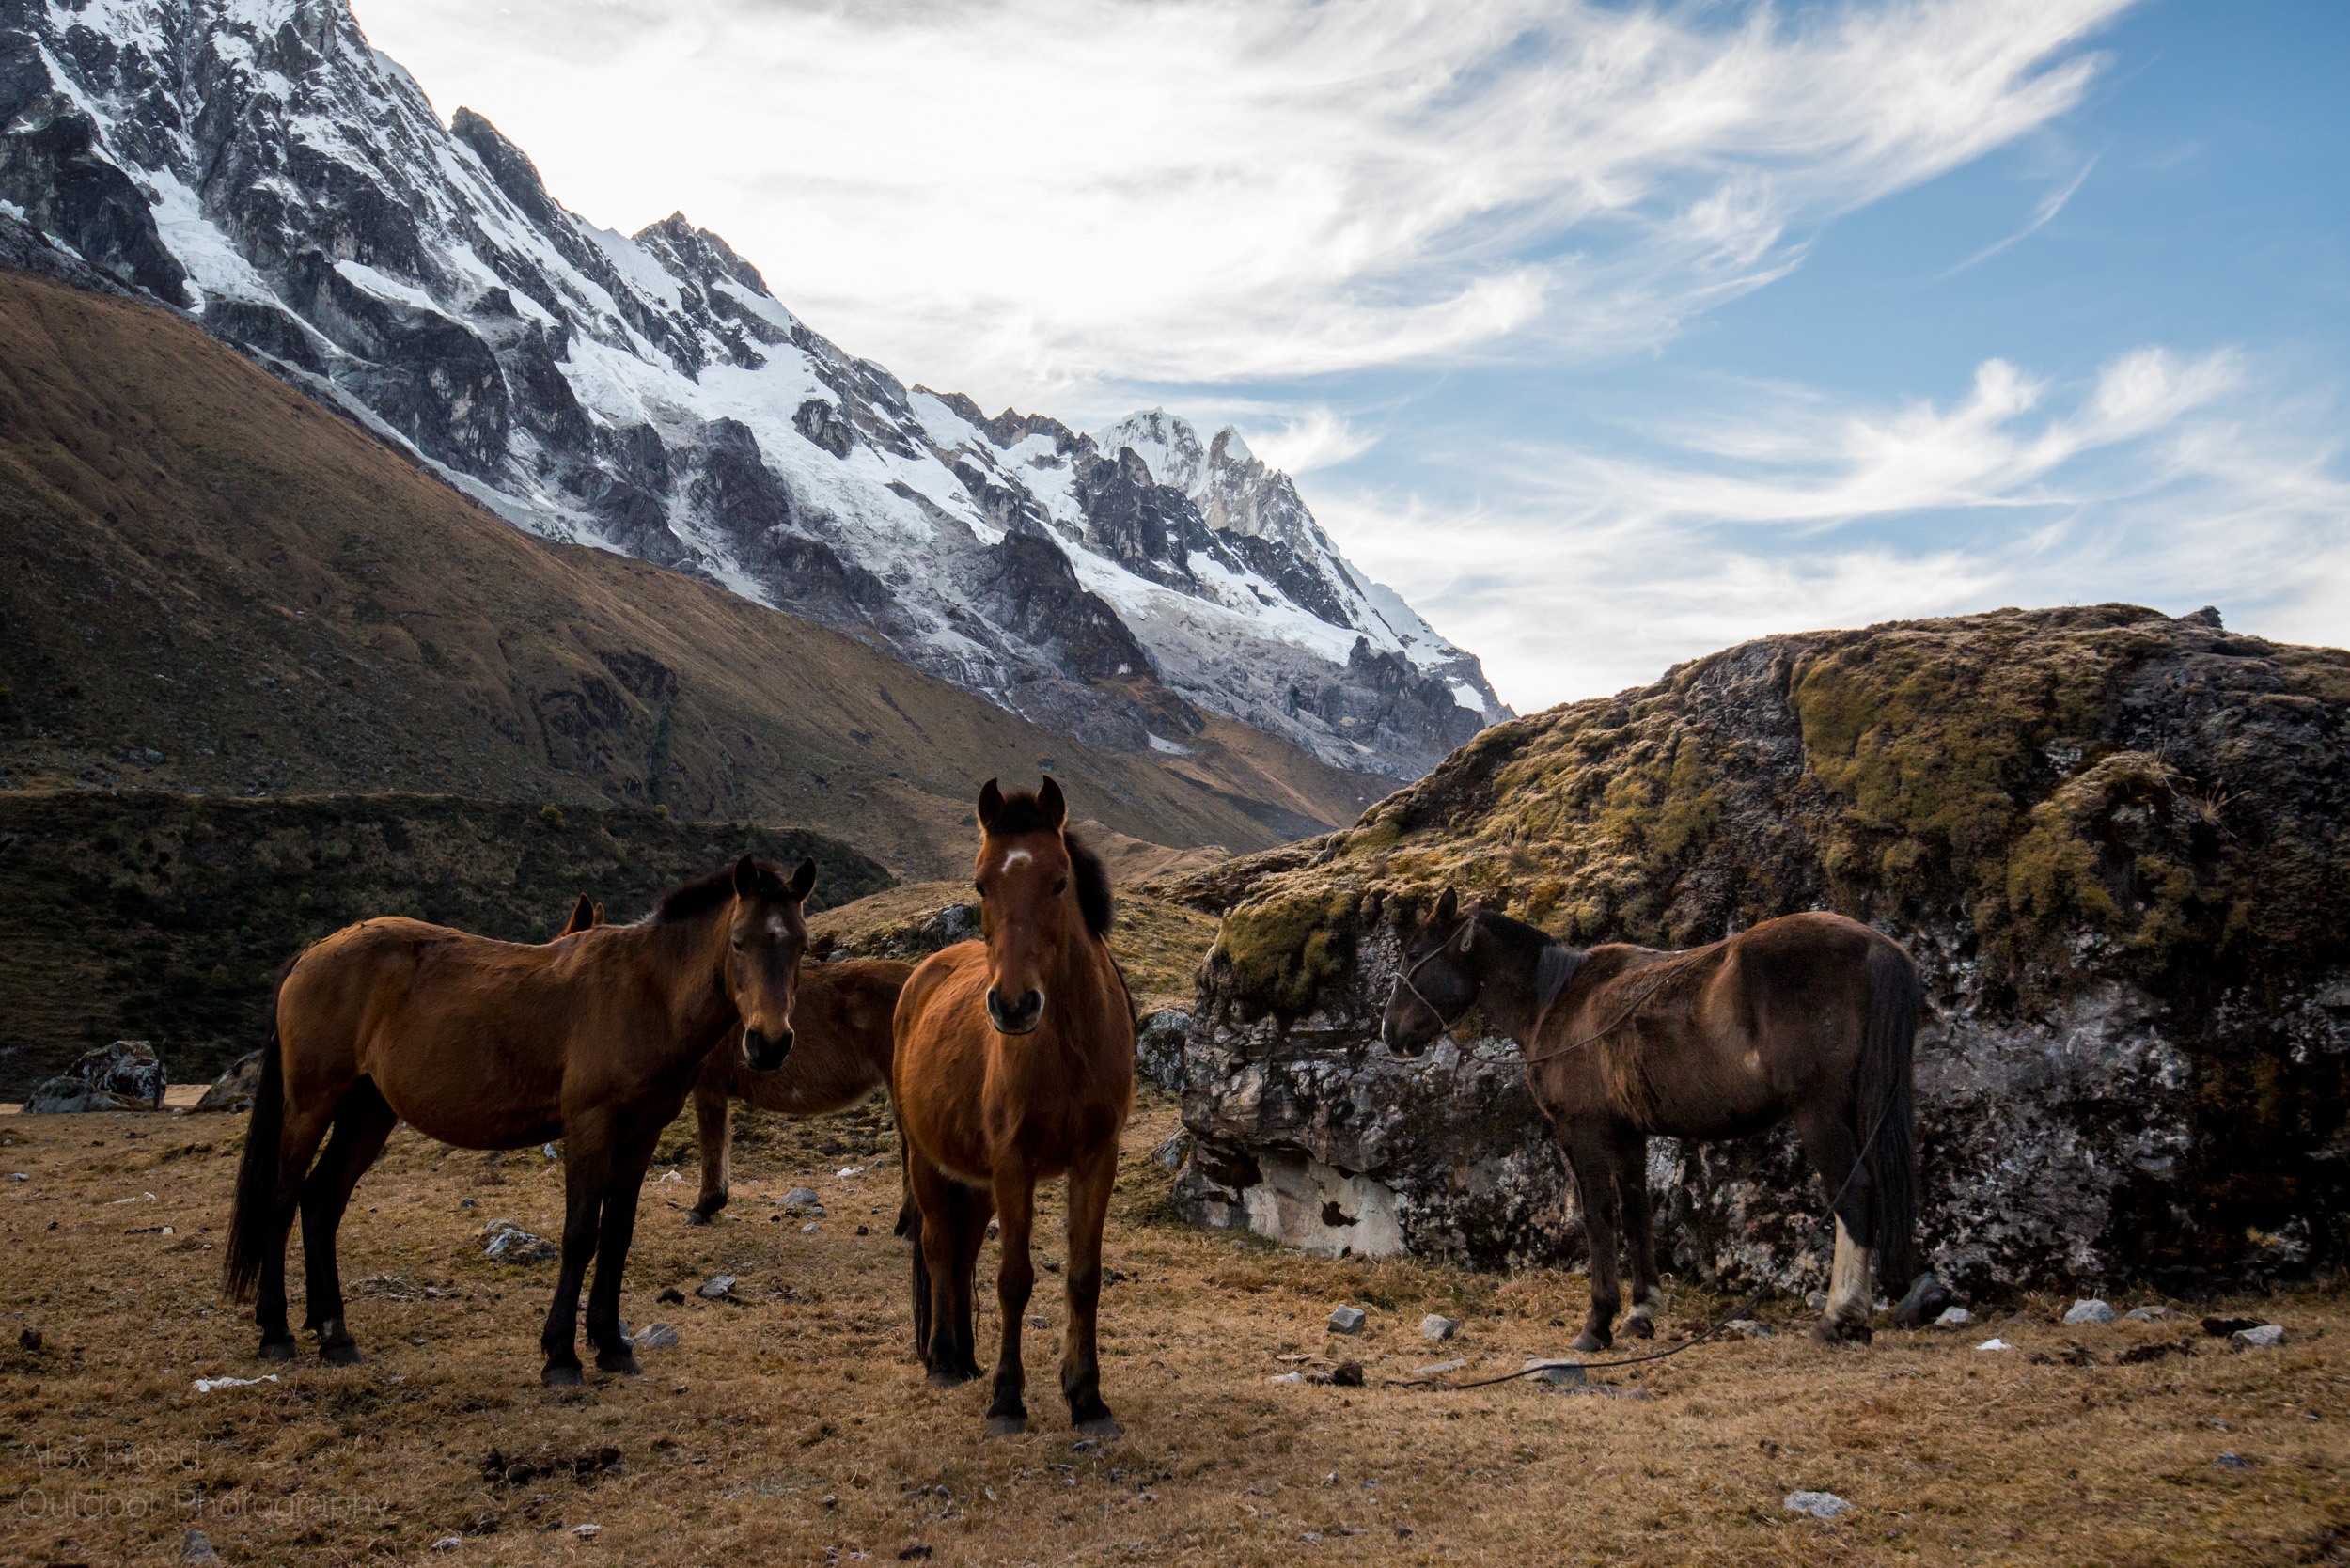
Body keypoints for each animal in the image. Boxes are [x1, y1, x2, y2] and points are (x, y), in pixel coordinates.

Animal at [222, 860, 818, 1382]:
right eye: (738, 941)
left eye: (801, 945)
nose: (769, 1043)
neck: (646, 992)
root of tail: (312, 954)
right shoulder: (590, 1129)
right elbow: (581, 1235)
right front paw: (562, 1357)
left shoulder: (640, 1136)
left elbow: (617, 1236)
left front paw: (612, 1346)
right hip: (311, 1106)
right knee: (282, 1198)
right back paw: (276, 1330)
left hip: (368, 1112)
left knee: (321, 1200)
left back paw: (334, 1334)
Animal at [888, 780, 1128, 1438]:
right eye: (980, 885)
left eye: (1059, 882)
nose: (1015, 1006)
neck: (1067, 1047)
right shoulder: (1014, 1162)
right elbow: (1014, 1279)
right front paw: (1007, 1400)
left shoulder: (1097, 1158)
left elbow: (1083, 1277)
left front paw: (1087, 1398)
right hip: (927, 1161)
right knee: (939, 1245)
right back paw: (945, 1361)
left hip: (975, 1180)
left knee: (963, 1249)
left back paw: (967, 1359)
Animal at [1372, 893, 1946, 1354]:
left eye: (1413, 955)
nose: (1389, 1031)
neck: (1558, 1000)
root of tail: (1875, 946)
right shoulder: (1628, 1134)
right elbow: (1636, 1213)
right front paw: (1641, 1311)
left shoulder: (1582, 1132)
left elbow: (1599, 1218)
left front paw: (1597, 1323)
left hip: (1820, 1113)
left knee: (1854, 1195)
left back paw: (1839, 1316)